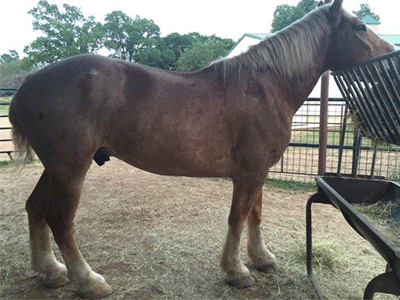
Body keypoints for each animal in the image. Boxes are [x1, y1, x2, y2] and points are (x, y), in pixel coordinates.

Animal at [7, 0, 396, 298]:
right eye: (361, 27)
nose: (392, 59)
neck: (266, 88)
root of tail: (27, 85)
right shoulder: (248, 173)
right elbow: (238, 217)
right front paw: (236, 272)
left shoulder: (259, 172)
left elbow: (254, 215)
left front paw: (262, 259)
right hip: (71, 168)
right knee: (60, 220)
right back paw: (89, 281)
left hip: (54, 168)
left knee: (36, 209)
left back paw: (51, 271)